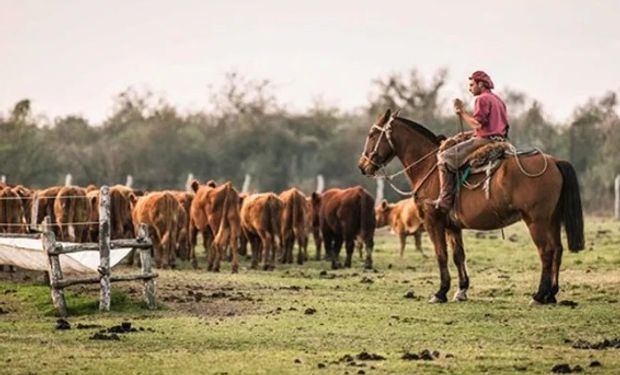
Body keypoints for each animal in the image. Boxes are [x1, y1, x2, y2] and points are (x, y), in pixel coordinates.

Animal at [356, 108, 584, 306]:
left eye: (371, 134)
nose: (362, 166)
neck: (430, 167)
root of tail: (554, 161)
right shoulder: (452, 226)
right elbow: (458, 256)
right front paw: (461, 290)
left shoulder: (433, 222)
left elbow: (441, 255)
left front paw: (440, 292)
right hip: (552, 219)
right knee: (557, 250)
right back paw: (551, 294)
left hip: (536, 221)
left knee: (546, 251)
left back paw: (539, 295)